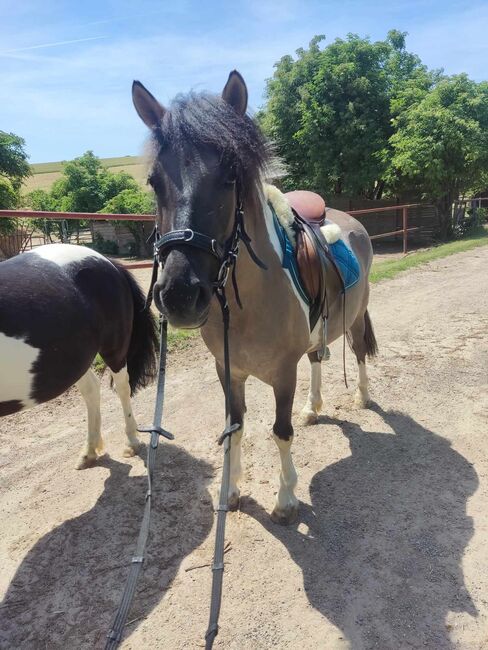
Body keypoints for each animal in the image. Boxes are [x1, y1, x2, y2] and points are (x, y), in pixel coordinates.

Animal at [0, 243, 156, 466]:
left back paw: (131, 442)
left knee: (122, 388)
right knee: (91, 389)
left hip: (114, 351)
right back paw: (89, 451)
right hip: (76, 360)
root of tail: (107, 262)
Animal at [132, 71, 378, 524]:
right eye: (154, 182)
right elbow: (235, 429)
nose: (179, 294)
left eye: (230, 177)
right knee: (318, 358)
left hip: (355, 318)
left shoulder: (283, 374)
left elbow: (280, 431)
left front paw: (285, 499)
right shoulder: (227, 371)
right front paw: (230, 491)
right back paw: (313, 408)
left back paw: (363, 396)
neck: (248, 306)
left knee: (358, 352)